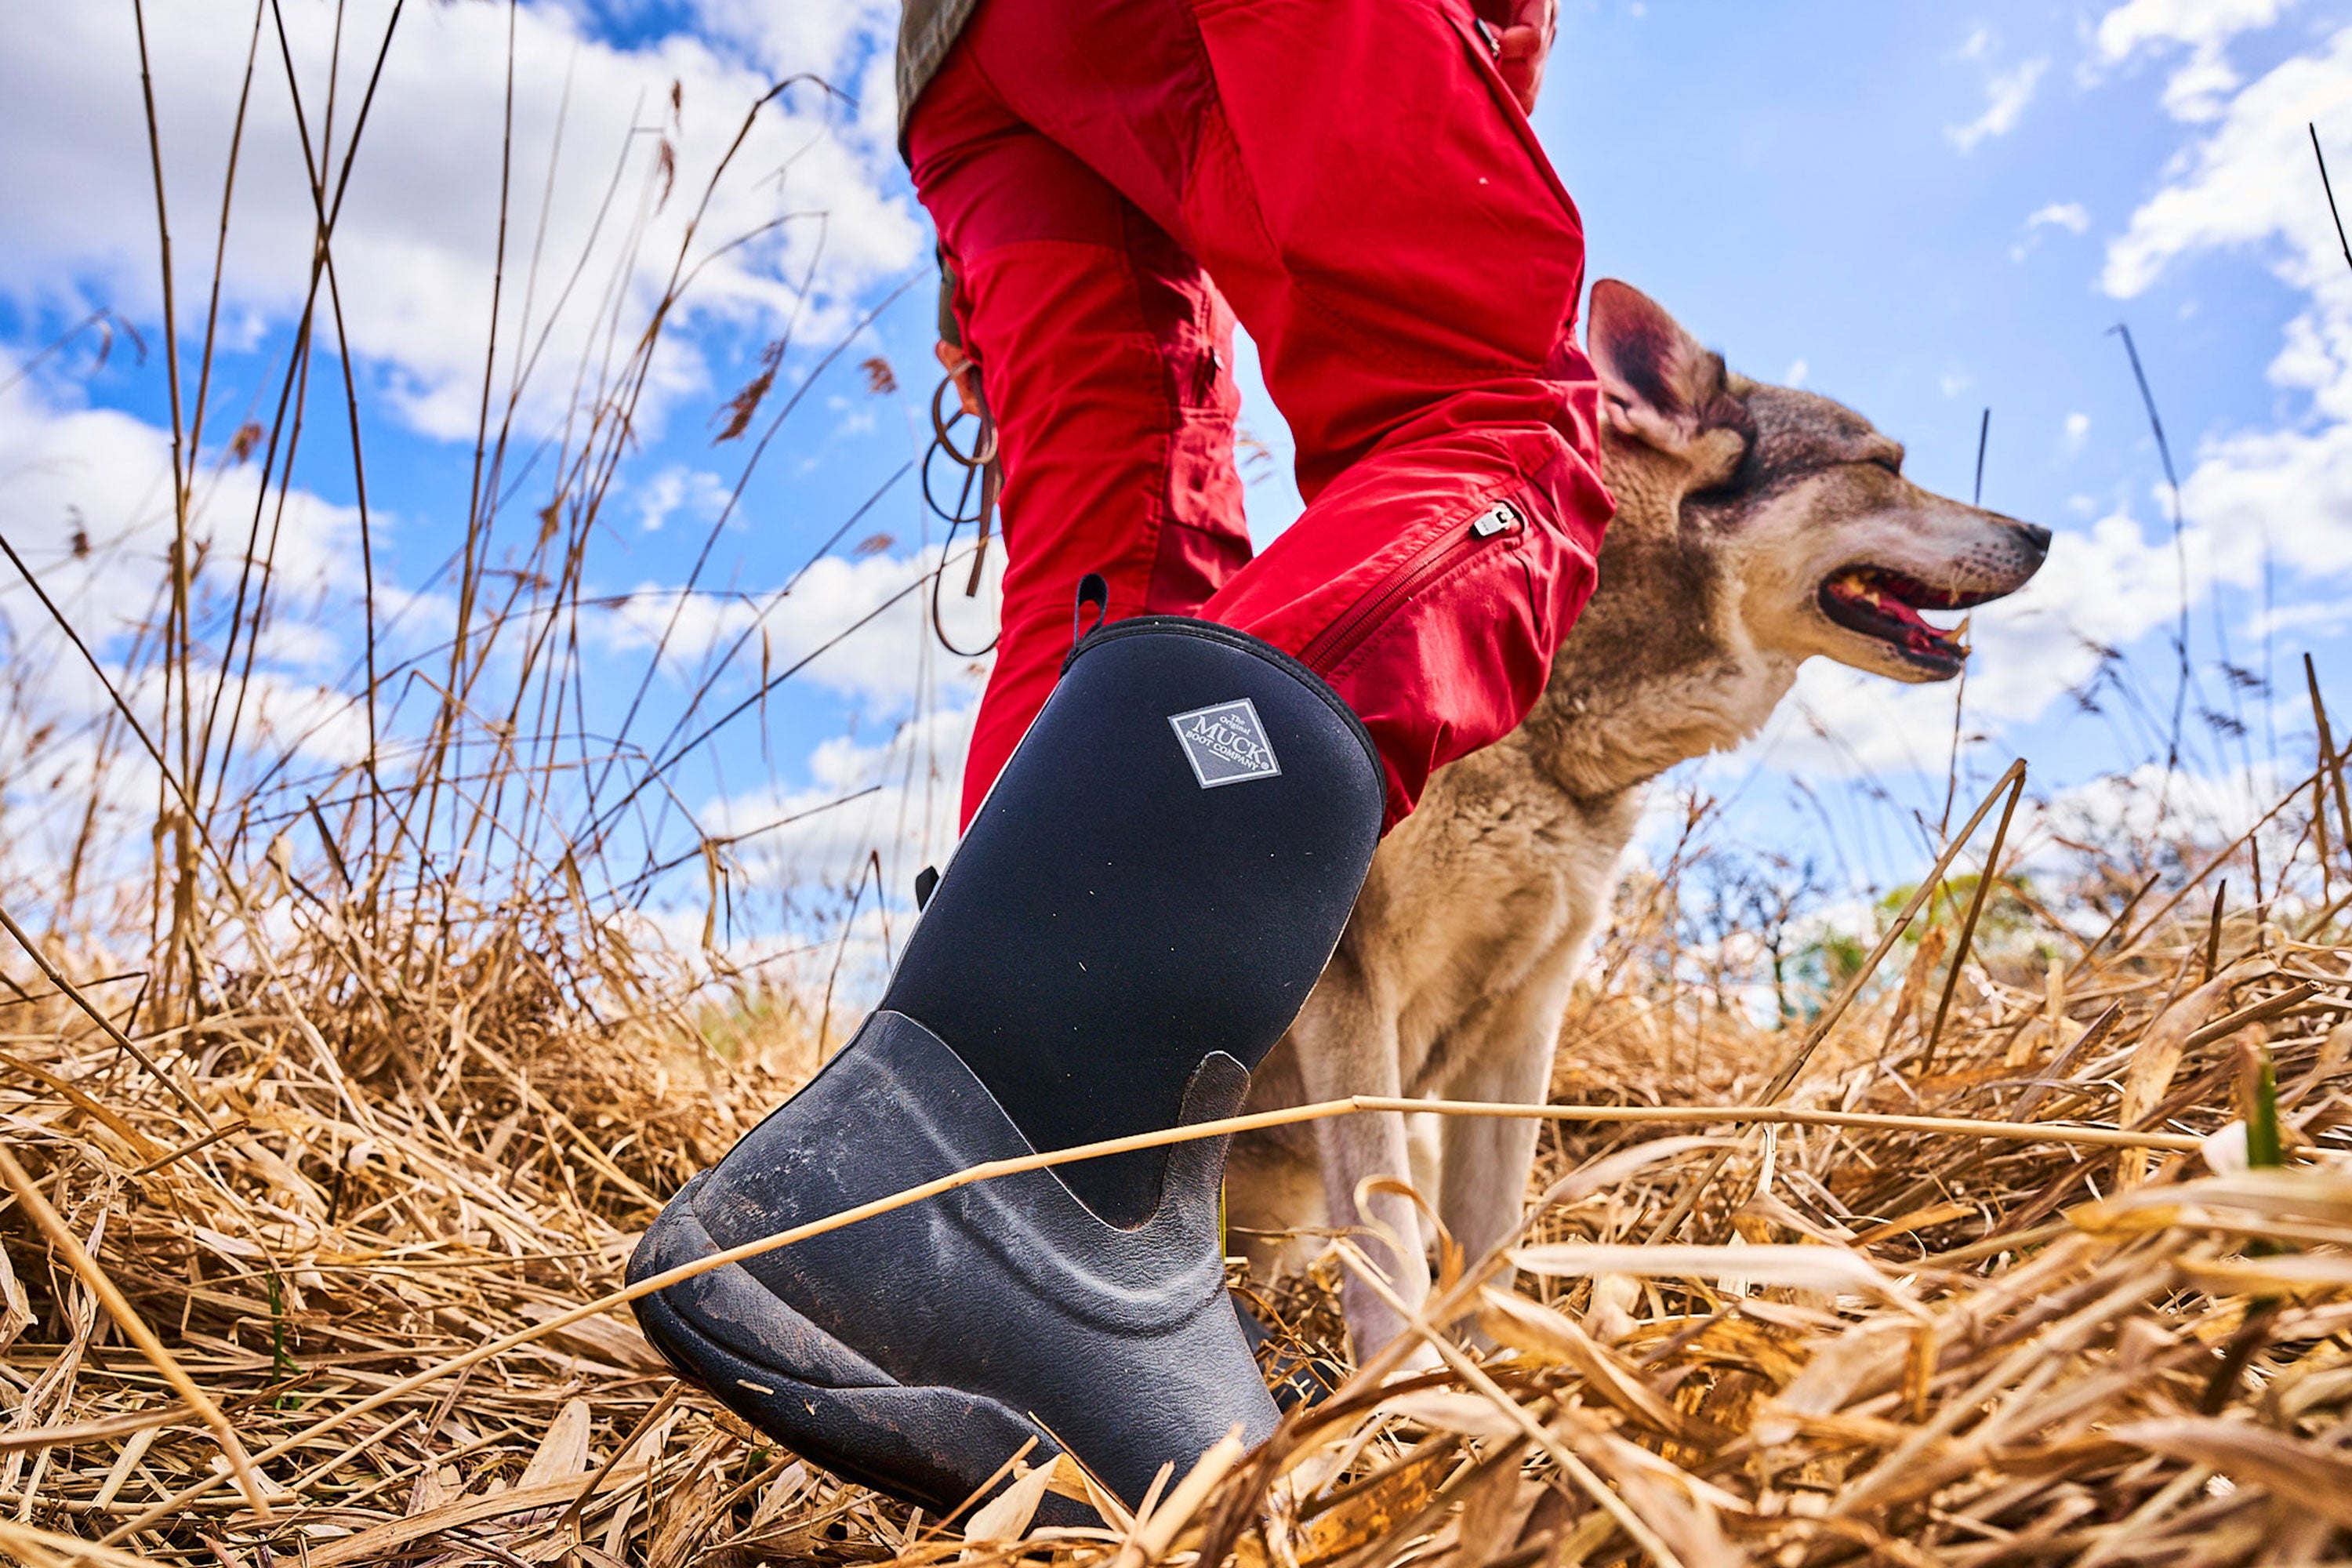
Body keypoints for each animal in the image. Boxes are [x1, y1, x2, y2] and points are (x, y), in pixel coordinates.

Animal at [1232, 281, 2042, 1363]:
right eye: (1883, 467)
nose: (2042, 532)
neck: (1551, 737)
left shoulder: (1524, 1011)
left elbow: (1490, 1228)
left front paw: (1497, 1362)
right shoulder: (1357, 990)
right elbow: (1389, 1227)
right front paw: (1411, 1379)